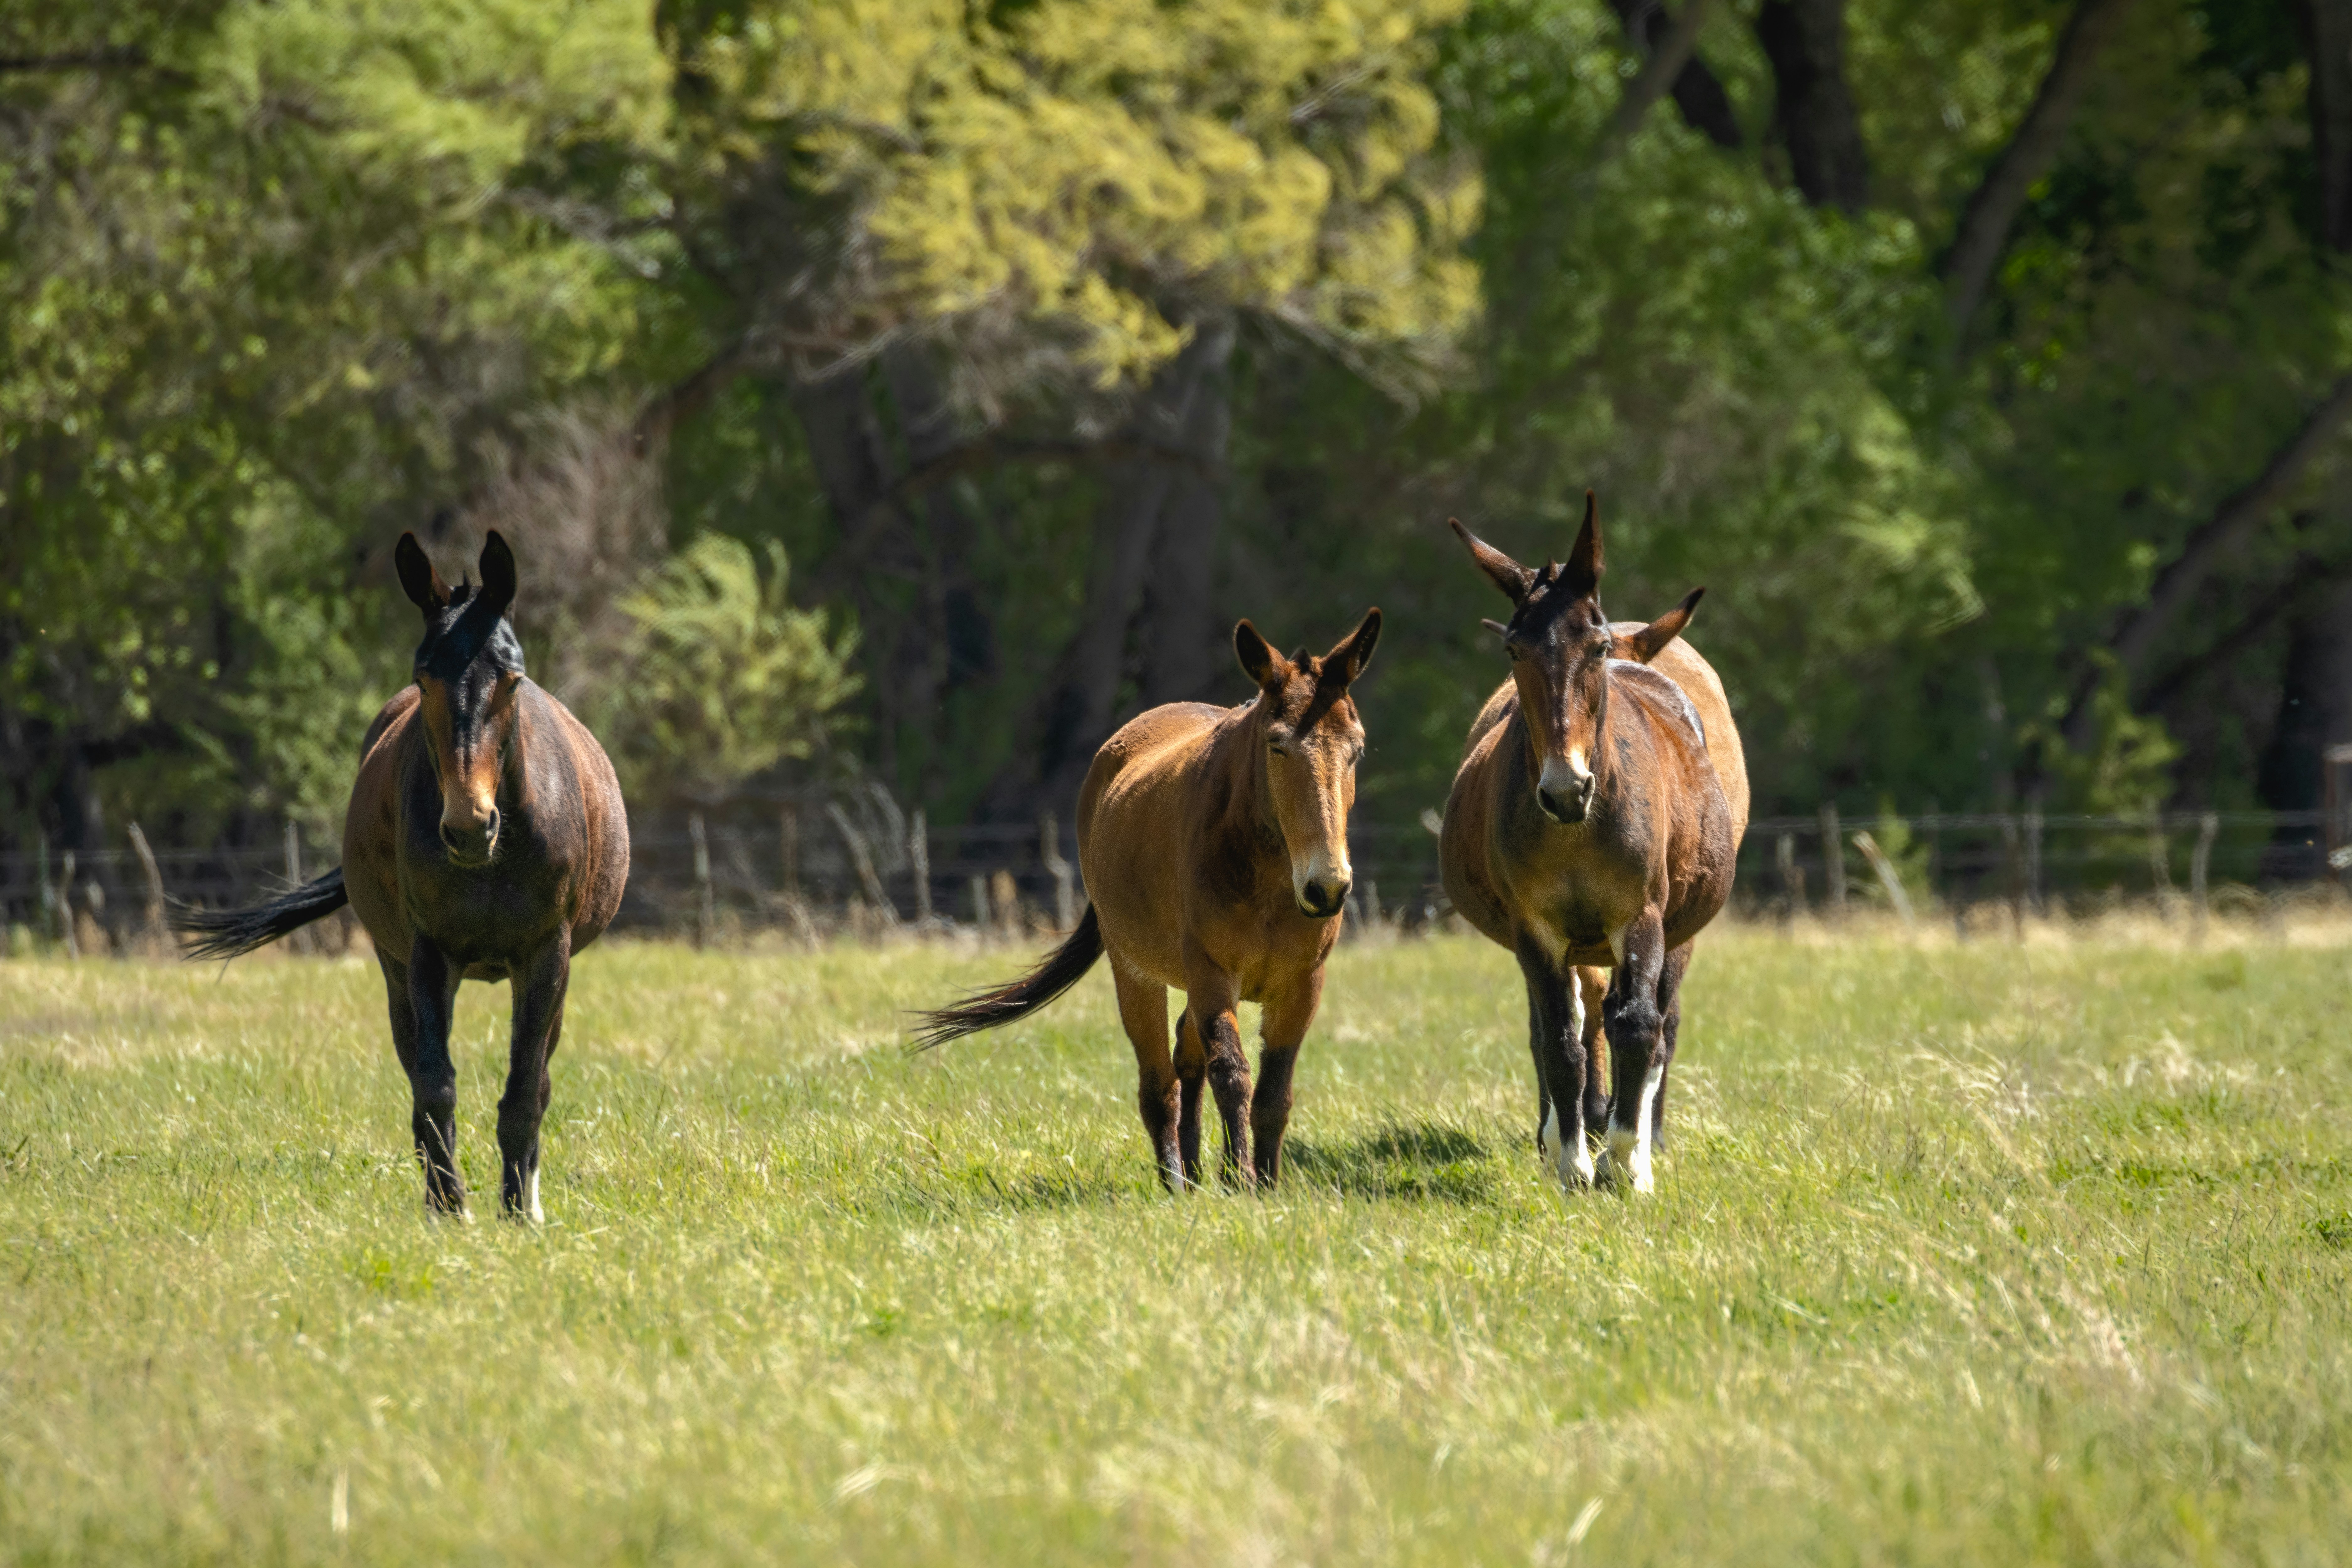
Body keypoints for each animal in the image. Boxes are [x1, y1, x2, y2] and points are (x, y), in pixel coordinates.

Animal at [176, 531, 629, 1220]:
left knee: (539, 1077)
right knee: (419, 1077)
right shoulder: (426, 955)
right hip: (395, 970)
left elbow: (526, 1088)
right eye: (424, 677)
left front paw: (517, 1211)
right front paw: (450, 1207)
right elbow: (435, 1085)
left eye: (512, 679)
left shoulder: (546, 955)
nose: (469, 826)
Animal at [915, 610, 1382, 1192]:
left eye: (1355, 749)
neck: (1271, 881)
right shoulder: (1211, 975)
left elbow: (1274, 1092)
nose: (1327, 887)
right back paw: (1177, 1182)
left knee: (1185, 1055)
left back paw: (1201, 1171)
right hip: (1134, 971)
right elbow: (1232, 1074)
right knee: (1160, 1080)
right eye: (1278, 746)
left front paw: (1264, 1183)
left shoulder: (1303, 985)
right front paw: (1243, 1180)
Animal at [1439, 493, 1743, 1193]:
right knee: (1570, 1022)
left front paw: (1626, 1160)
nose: (1564, 789)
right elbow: (1559, 1038)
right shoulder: (1537, 928)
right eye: (1514, 649)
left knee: (1656, 1021)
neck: (1578, 828)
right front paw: (1573, 1161)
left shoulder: (1643, 916)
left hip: (1676, 929)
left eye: (1594, 646)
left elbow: (1638, 1026)